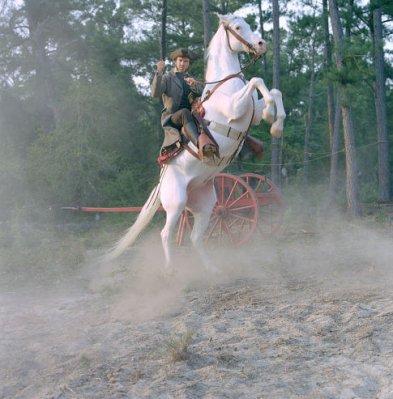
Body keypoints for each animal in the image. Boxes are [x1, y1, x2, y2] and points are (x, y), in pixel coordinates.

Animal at [107, 14, 284, 272]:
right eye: (238, 27)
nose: (261, 44)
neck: (226, 84)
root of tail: (162, 181)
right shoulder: (235, 108)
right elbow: (257, 80)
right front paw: (273, 117)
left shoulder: (251, 113)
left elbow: (275, 92)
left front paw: (276, 124)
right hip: (176, 203)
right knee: (166, 235)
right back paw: (171, 271)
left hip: (205, 206)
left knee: (196, 237)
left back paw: (211, 270)